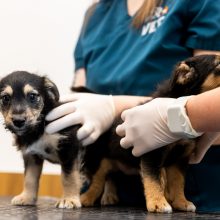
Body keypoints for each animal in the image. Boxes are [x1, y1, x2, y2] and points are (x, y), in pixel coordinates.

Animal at [78, 54, 220, 212]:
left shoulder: (180, 158)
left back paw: (110, 197)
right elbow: (153, 179)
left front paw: (181, 202)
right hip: (98, 158)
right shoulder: (151, 152)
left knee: (110, 177)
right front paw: (158, 203)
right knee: (97, 180)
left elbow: (178, 182)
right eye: (218, 64)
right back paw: (86, 198)